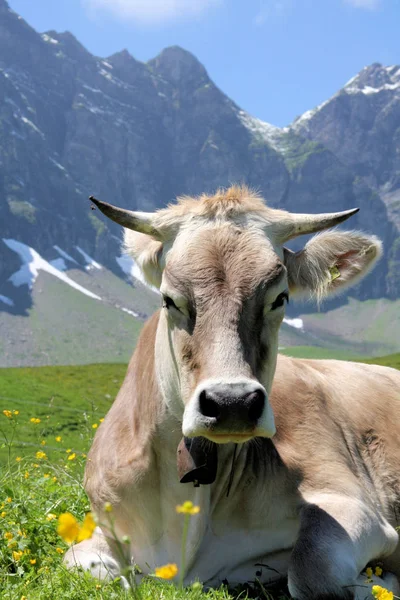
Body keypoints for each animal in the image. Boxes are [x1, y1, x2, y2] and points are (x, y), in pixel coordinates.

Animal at [65, 185, 400, 596]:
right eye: (169, 299)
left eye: (279, 298)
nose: (232, 403)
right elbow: (84, 564)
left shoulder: (349, 499)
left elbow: (313, 568)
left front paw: (380, 581)